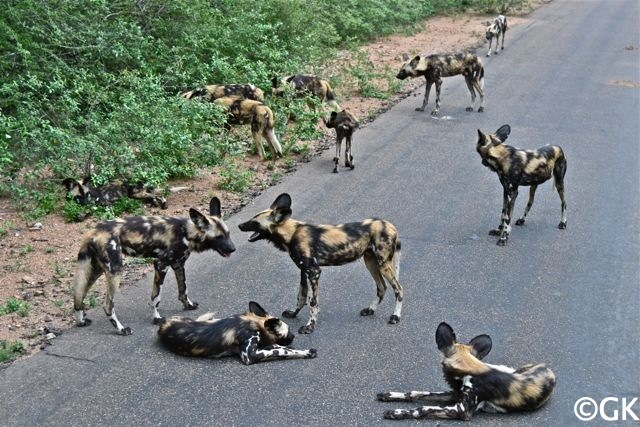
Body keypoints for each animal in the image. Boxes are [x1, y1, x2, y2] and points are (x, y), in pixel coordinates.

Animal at [73, 197, 235, 334]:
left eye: (228, 234)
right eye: (218, 237)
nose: (233, 249)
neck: (186, 232)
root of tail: (93, 231)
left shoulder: (178, 265)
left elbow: (183, 289)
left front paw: (188, 305)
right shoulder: (161, 265)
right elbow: (156, 298)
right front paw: (157, 318)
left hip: (95, 271)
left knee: (79, 297)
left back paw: (81, 321)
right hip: (115, 271)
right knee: (107, 305)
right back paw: (121, 329)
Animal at [158, 300, 318, 364]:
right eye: (289, 331)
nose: (294, 336)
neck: (254, 324)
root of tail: (163, 323)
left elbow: (278, 348)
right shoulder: (250, 355)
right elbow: (280, 351)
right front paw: (307, 352)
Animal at [238, 193, 402, 334]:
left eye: (254, 222)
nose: (239, 226)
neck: (291, 234)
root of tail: (390, 225)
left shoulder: (314, 271)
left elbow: (312, 303)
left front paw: (309, 327)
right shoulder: (304, 271)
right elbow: (301, 296)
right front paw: (293, 313)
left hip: (383, 265)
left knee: (399, 289)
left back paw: (395, 316)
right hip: (370, 263)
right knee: (382, 287)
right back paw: (370, 310)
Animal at [380, 324, 556, 422]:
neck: (469, 369)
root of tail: (548, 368)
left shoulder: (461, 409)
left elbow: (423, 408)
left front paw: (396, 413)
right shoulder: (455, 394)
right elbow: (417, 393)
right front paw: (391, 395)